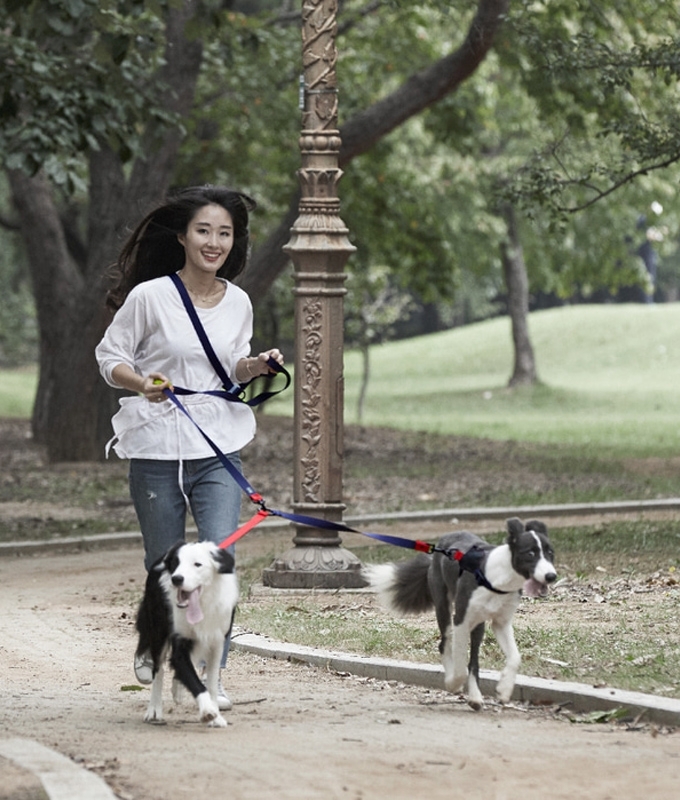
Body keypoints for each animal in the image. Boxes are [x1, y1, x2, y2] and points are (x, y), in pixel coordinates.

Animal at [134, 540, 238, 728]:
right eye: (176, 564)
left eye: (197, 564)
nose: (176, 579)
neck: (201, 605)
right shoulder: (179, 640)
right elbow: (194, 681)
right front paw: (208, 711)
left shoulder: (216, 642)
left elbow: (211, 681)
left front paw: (216, 715)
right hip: (158, 631)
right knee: (158, 670)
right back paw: (154, 710)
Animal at [364, 520, 556, 708]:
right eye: (530, 553)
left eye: (550, 553)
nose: (551, 576)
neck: (497, 580)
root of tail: (438, 548)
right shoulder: (461, 620)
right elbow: (459, 664)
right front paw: (453, 683)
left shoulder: (501, 623)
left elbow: (515, 657)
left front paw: (504, 689)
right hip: (443, 605)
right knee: (444, 643)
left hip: (478, 624)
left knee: (473, 661)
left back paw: (476, 697)